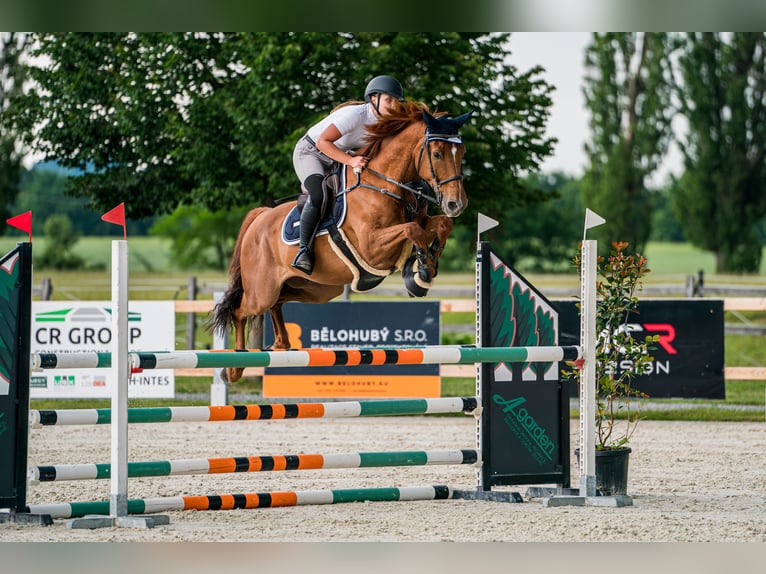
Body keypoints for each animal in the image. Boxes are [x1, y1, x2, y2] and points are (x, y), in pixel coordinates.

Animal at [213, 101, 472, 384]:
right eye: (436, 154)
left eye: (461, 153)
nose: (456, 204)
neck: (385, 184)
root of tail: (259, 218)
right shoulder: (372, 248)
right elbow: (412, 229)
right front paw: (420, 272)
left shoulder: (417, 223)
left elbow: (440, 225)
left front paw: (427, 264)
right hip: (262, 291)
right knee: (239, 311)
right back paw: (233, 368)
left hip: (315, 289)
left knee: (278, 303)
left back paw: (280, 344)